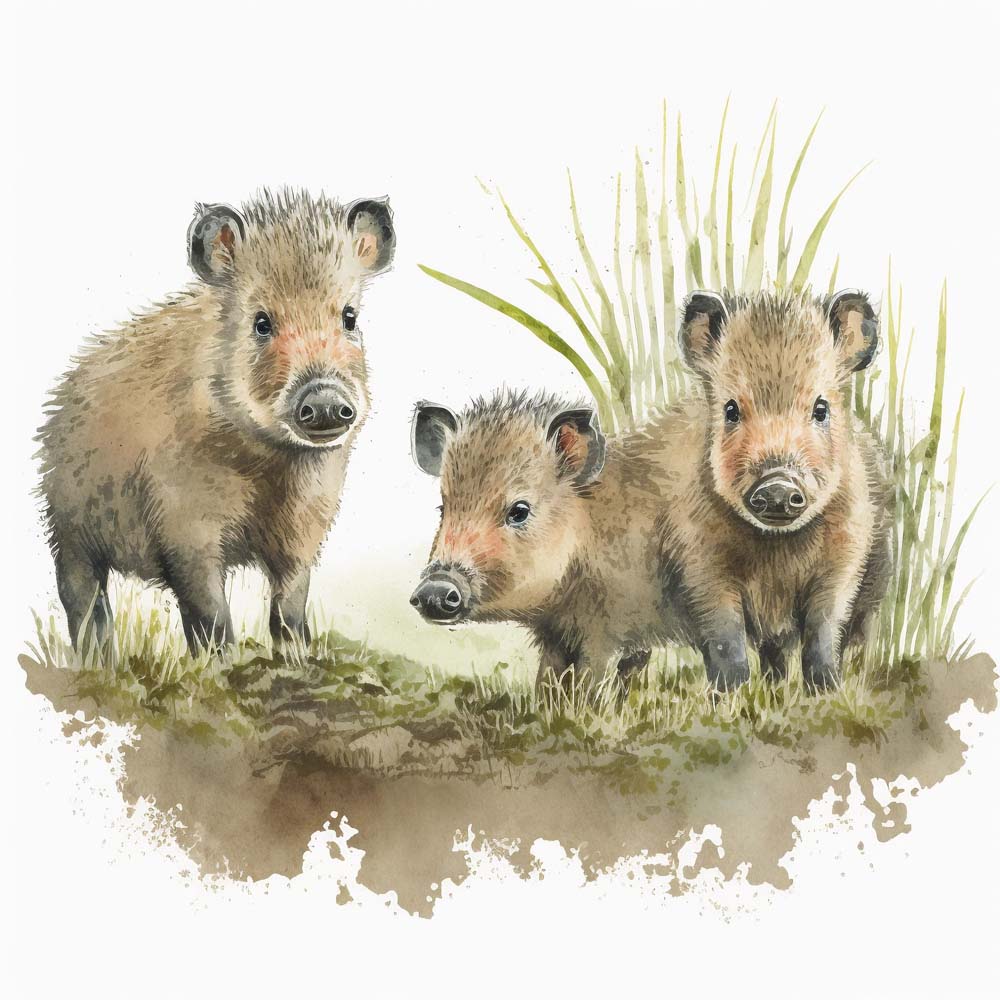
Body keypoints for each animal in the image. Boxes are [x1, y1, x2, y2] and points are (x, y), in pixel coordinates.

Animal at [37, 189, 395, 653]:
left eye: (350, 317)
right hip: (70, 533)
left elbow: (289, 607)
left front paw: (297, 657)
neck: (270, 464)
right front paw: (223, 664)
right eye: (261, 322)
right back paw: (97, 659)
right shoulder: (185, 525)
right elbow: (209, 614)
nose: (326, 402)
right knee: (83, 603)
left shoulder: (306, 527)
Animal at [408, 391, 685, 688]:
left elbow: (592, 681)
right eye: (442, 509)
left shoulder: (611, 629)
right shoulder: (556, 635)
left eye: (519, 511)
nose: (434, 590)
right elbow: (547, 680)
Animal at [664, 288, 894, 690]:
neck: (777, 553)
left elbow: (823, 634)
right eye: (731, 409)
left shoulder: (845, 559)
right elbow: (727, 643)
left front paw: (827, 690)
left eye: (821, 408)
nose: (776, 487)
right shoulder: (702, 566)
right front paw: (730, 695)